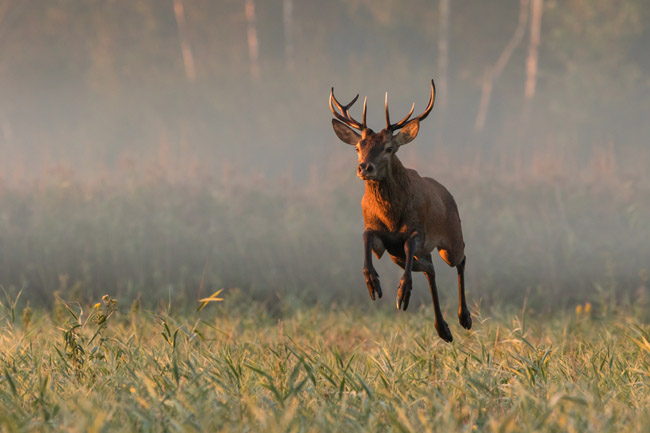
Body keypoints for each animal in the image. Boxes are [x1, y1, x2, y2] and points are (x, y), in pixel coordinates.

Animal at [326, 78, 468, 340]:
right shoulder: (381, 237)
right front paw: (373, 283)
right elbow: (366, 236)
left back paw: (464, 318)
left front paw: (402, 292)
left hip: (451, 238)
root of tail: (447, 192)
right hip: (399, 257)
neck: (391, 216)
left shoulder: (417, 231)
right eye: (357, 147)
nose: (365, 168)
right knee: (430, 269)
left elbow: (410, 244)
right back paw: (443, 328)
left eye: (389, 148)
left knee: (460, 259)